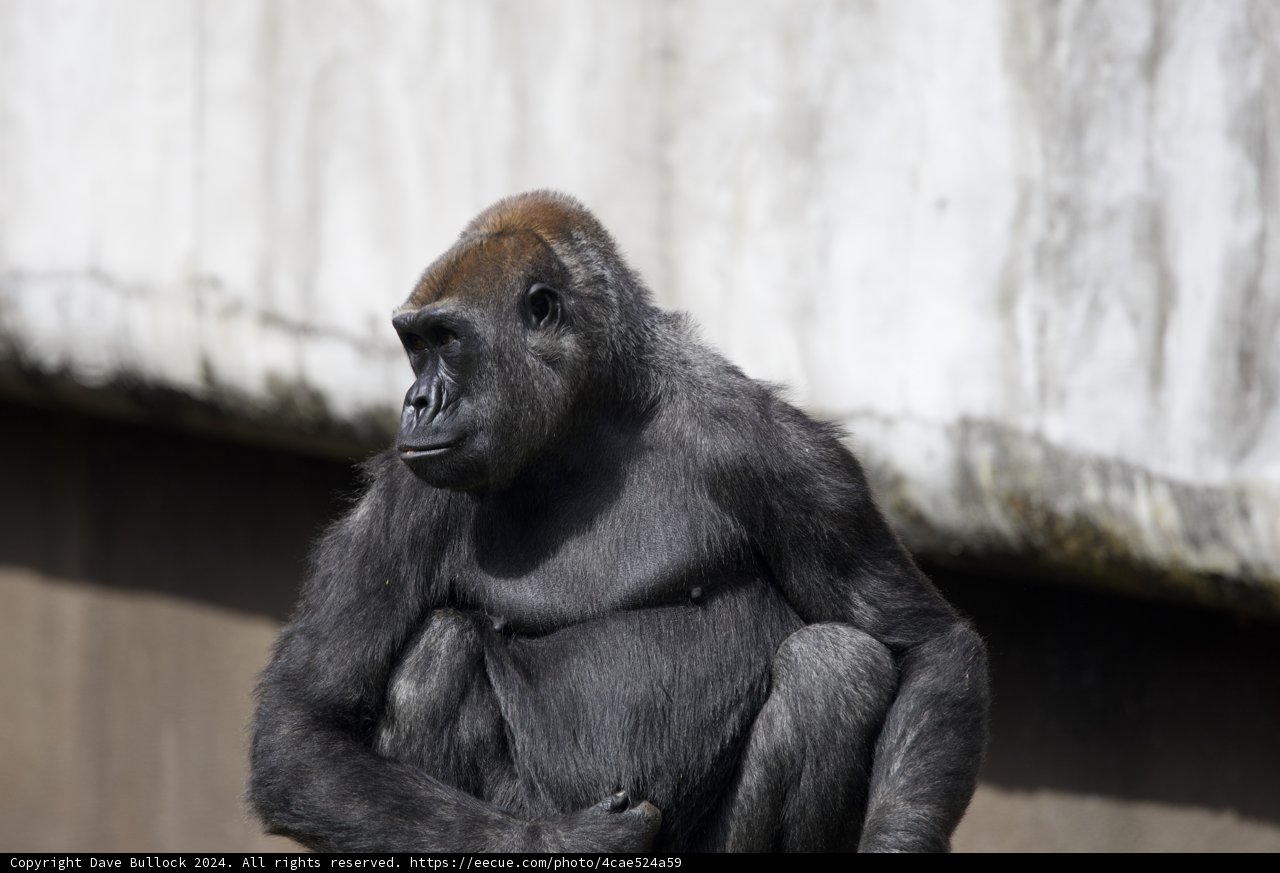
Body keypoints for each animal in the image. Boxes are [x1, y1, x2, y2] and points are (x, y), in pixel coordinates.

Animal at [248, 190, 989, 852]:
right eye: (414, 345)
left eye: (446, 340)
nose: (417, 401)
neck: (587, 418)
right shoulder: (408, 495)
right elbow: (302, 731)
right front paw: (565, 842)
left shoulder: (782, 451)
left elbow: (926, 647)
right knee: (440, 649)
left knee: (834, 668)